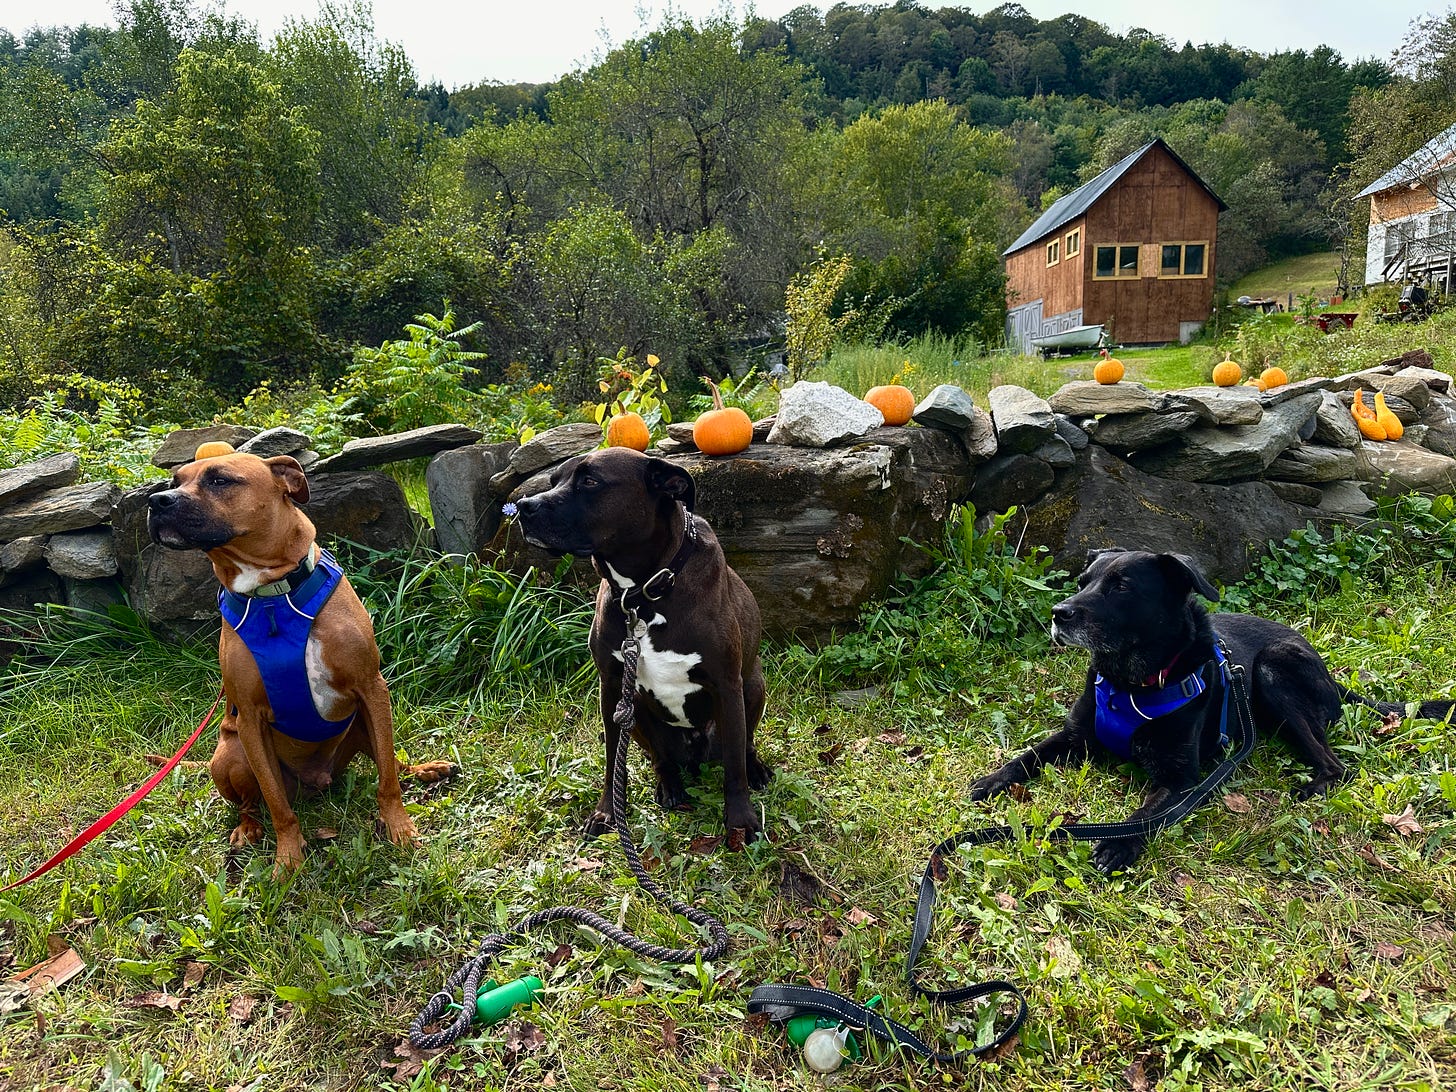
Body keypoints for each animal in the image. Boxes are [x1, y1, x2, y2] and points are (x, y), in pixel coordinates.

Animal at [147, 445, 445, 873]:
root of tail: (317, 780)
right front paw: (288, 857)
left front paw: (399, 829)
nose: (157, 501)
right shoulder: (250, 720)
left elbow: (388, 778)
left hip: (362, 725)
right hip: (231, 755)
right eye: (175, 481)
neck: (273, 596)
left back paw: (425, 769)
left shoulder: (372, 688)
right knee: (252, 803)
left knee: (390, 760)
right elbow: (276, 805)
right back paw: (248, 829)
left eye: (219, 479)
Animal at [509, 448, 768, 844]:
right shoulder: (612, 686)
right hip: (638, 716)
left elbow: (734, 768)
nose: (524, 506)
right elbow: (612, 760)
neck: (643, 593)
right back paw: (669, 786)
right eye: (553, 480)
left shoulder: (727, 685)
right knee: (662, 759)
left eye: (590, 481)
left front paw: (740, 821)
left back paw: (756, 769)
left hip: (753, 687)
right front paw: (606, 812)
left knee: (744, 745)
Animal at [966, 550, 1456, 879]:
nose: (1058, 613)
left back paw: (1312, 787)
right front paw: (990, 781)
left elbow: (1144, 815)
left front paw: (1119, 844)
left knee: (1336, 764)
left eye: (1121, 585)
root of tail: (1334, 679)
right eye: (1084, 580)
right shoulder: (1073, 737)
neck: (1132, 683)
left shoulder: (1182, 778)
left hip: (1272, 669)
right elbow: (1025, 758)